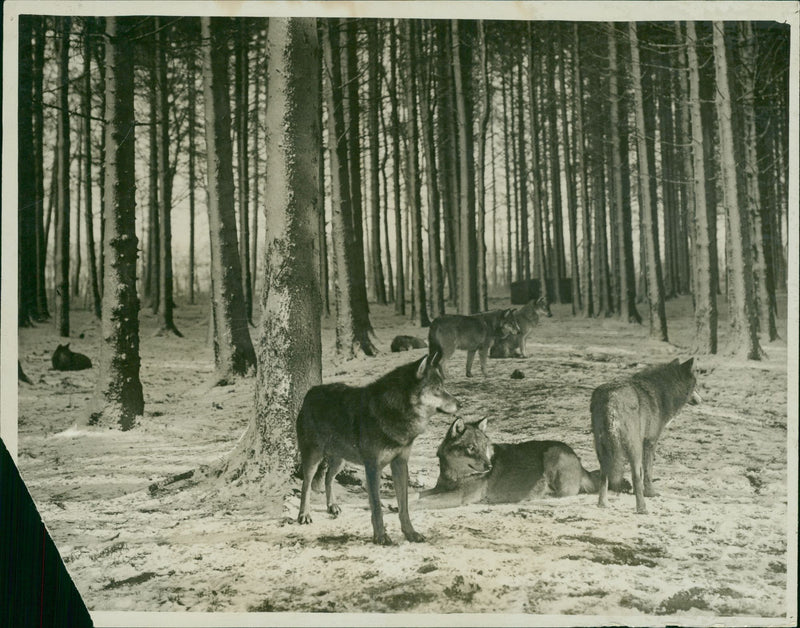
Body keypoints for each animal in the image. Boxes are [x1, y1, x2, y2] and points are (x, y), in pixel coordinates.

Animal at [296, 353, 458, 545]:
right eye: (437, 388)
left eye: (443, 386)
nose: (460, 404)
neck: (394, 411)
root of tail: (311, 392)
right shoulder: (373, 468)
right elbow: (377, 508)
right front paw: (381, 537)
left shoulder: (400, 464)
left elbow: (404, 507)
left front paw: (411, 533)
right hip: (313, 457)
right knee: (306, 484)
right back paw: (304, 515)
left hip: (340, 461)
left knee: (328, 478)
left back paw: (332, 506)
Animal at [416, 417, 612, 507]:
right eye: (471, 448)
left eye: (484, 446)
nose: (489, 466)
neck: (455, 475)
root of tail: (579, 460)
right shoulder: (440, 488)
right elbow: (418, 495)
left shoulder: (458, 496)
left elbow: (422, 501)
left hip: (552, 455)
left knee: (564, 494)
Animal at [591, 358, 701, 514]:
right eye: (696, 385)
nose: (701, 400)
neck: (662, 392)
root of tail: (611, 398)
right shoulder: (650, 442)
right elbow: (647, 473)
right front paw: (651, 493)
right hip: (633, 448)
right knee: (635, 476)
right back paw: (642, 508)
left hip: (602, 448)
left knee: (604, 475)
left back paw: (603, 504)